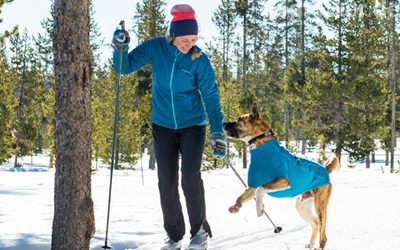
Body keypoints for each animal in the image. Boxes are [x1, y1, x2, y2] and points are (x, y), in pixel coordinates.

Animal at [223, 102, 340, 250]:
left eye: (239, 119)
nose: (223, 123)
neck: (261, 148)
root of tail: (325, 169)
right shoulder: (251, 187)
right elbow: (243, 196)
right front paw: (236, 206)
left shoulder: (283, 181)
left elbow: (260, 189)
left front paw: (260, 209)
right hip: (302, 206)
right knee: (315, 224)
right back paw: (310, 243)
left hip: (319, 204)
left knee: (322, 230)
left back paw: (319, 246)